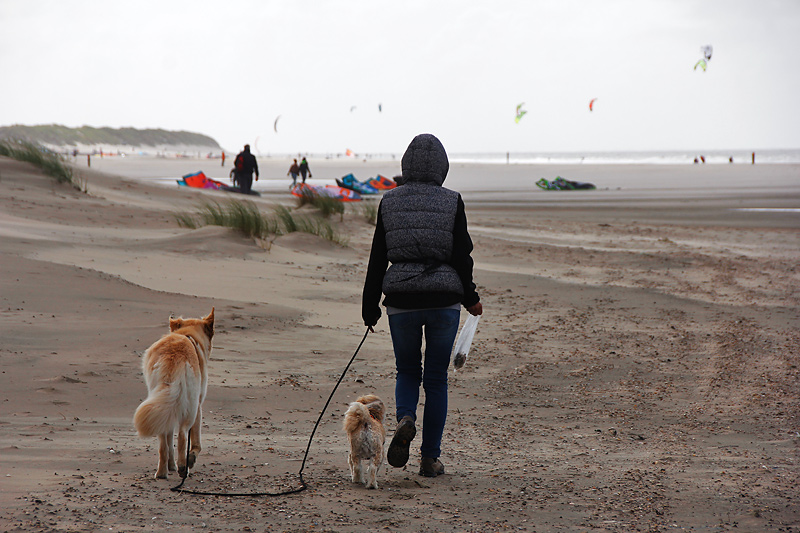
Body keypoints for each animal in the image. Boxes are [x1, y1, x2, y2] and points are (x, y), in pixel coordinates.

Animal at [134, 308, 216, 478]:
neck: (188, 334)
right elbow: (195, 441)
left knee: (163, 443)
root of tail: (173, 357)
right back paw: (184, 466)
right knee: (183, 436)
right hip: (191, 408)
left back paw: (162, 472)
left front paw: (171, 464)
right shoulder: (198, 405)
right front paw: (191, 457)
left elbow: (169, 437)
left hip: (160, 402)